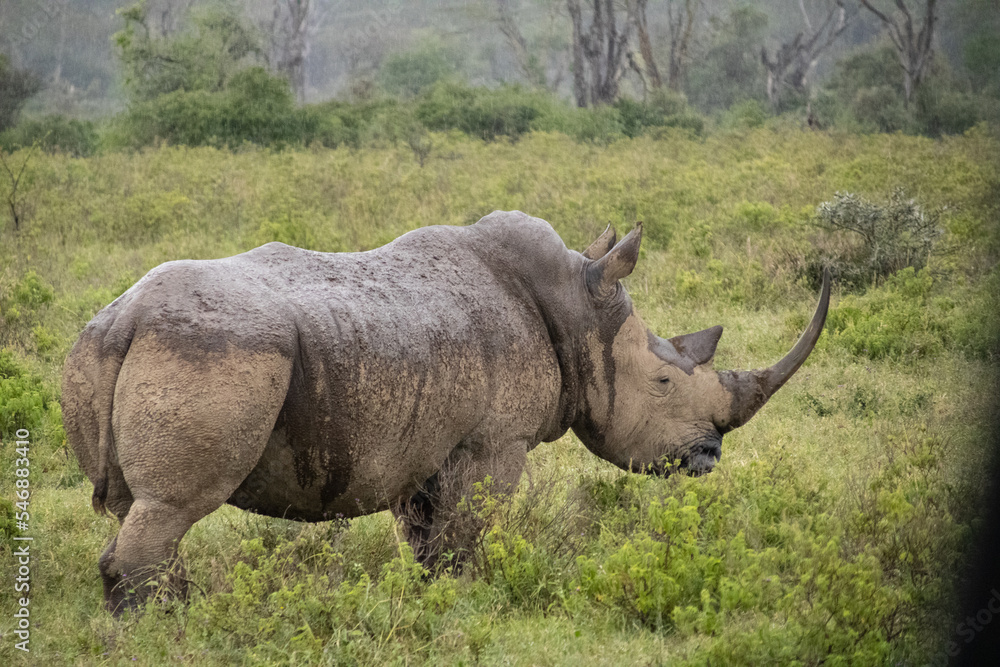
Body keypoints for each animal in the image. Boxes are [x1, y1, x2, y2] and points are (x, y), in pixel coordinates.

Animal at [62, 210, 829, 614]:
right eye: (666, 382)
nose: (709, 456)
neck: (575, 308)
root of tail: (123, 320)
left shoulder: (422, 446)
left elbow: (430, 543)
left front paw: (434, 606)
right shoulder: (493, 442)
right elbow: (467, 538)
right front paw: (466, 607)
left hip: (125, 347)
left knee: (141, 507)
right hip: (215, 345)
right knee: (171, 507)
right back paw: (168, 626)